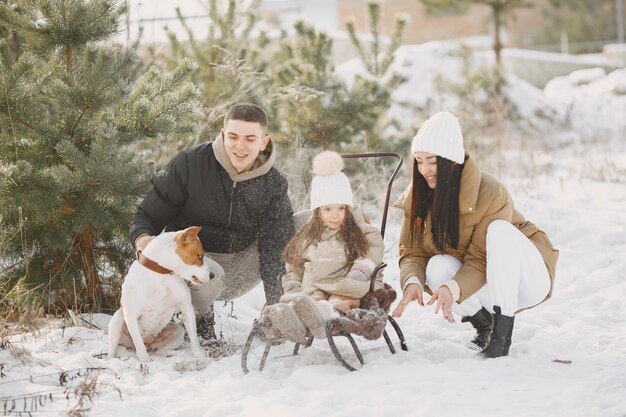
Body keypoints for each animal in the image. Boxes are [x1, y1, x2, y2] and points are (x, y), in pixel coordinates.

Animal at [108, 228, 223, 360]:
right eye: (200, 256)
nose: (212, 275)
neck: (161, 273)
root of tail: (149, 343)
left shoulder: (186, 308)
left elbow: (194, 338)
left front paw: (199, 356)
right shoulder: (130, 314)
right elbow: (138, 343)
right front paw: (145, 361)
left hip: (178, 332)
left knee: (162, 351)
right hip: (117, 321)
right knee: (115, 350)